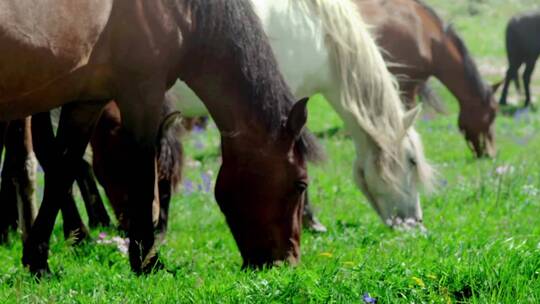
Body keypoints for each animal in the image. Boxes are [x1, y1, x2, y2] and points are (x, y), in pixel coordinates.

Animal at [0, 0, 320, 276]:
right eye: (301, 184)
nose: (287, 262)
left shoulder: (86, 101)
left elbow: (61, 171)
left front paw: (39, 260)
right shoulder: (142, 93)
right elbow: (140, 172)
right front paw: (147, 262)